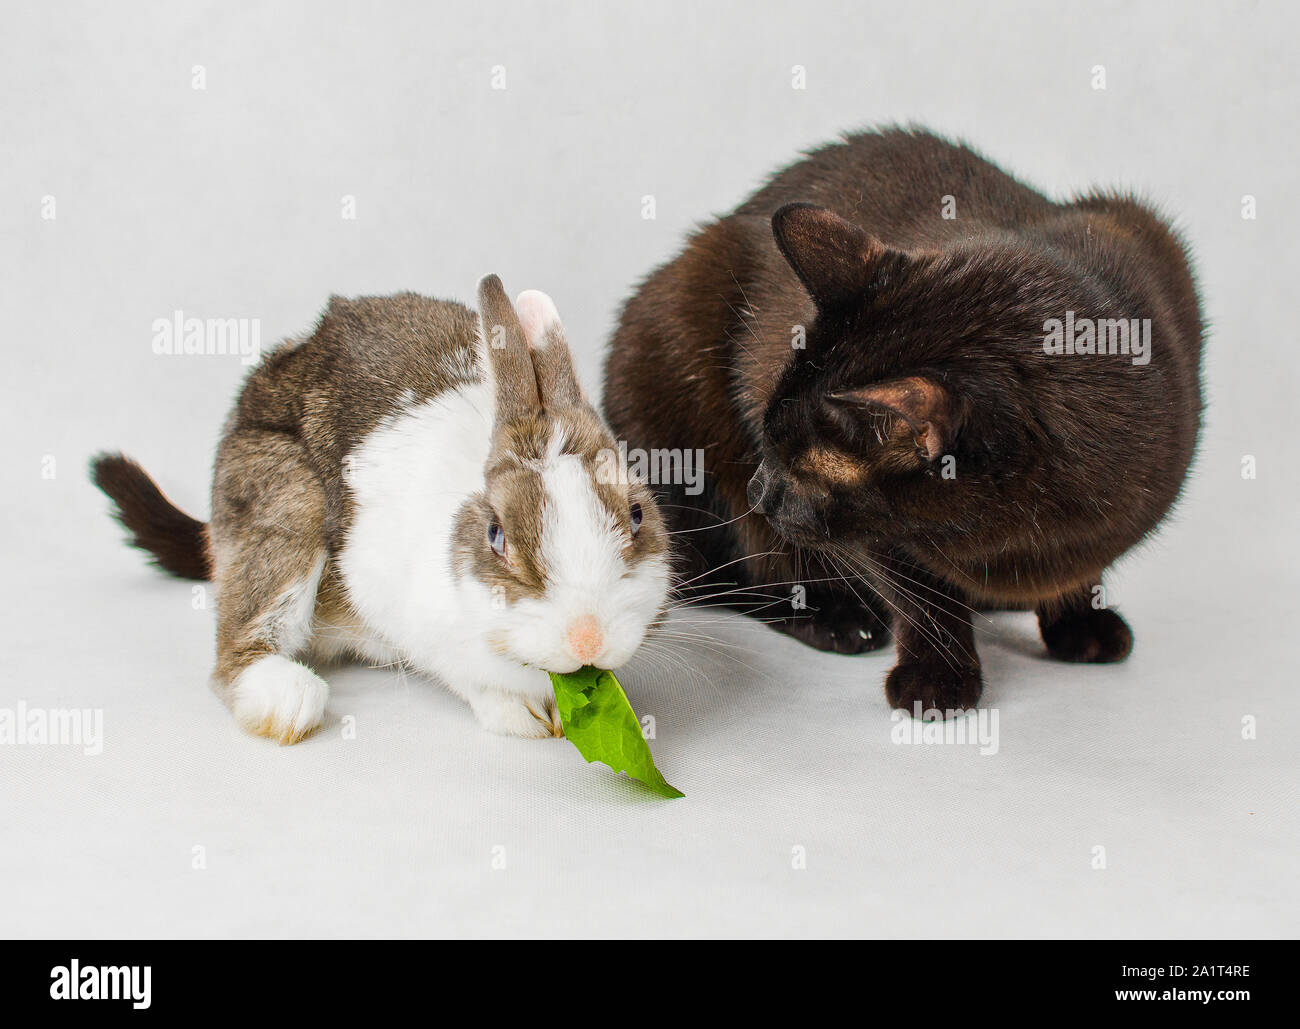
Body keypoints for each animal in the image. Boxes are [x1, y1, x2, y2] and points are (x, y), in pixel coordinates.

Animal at [92, 275, 672, 743]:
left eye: (638, 514)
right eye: (496, 535)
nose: (587, 637)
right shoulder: (398, 605)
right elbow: (467, 674)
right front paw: (523, 715)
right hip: (288, 509)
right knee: (235, 651)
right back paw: (286, 699)